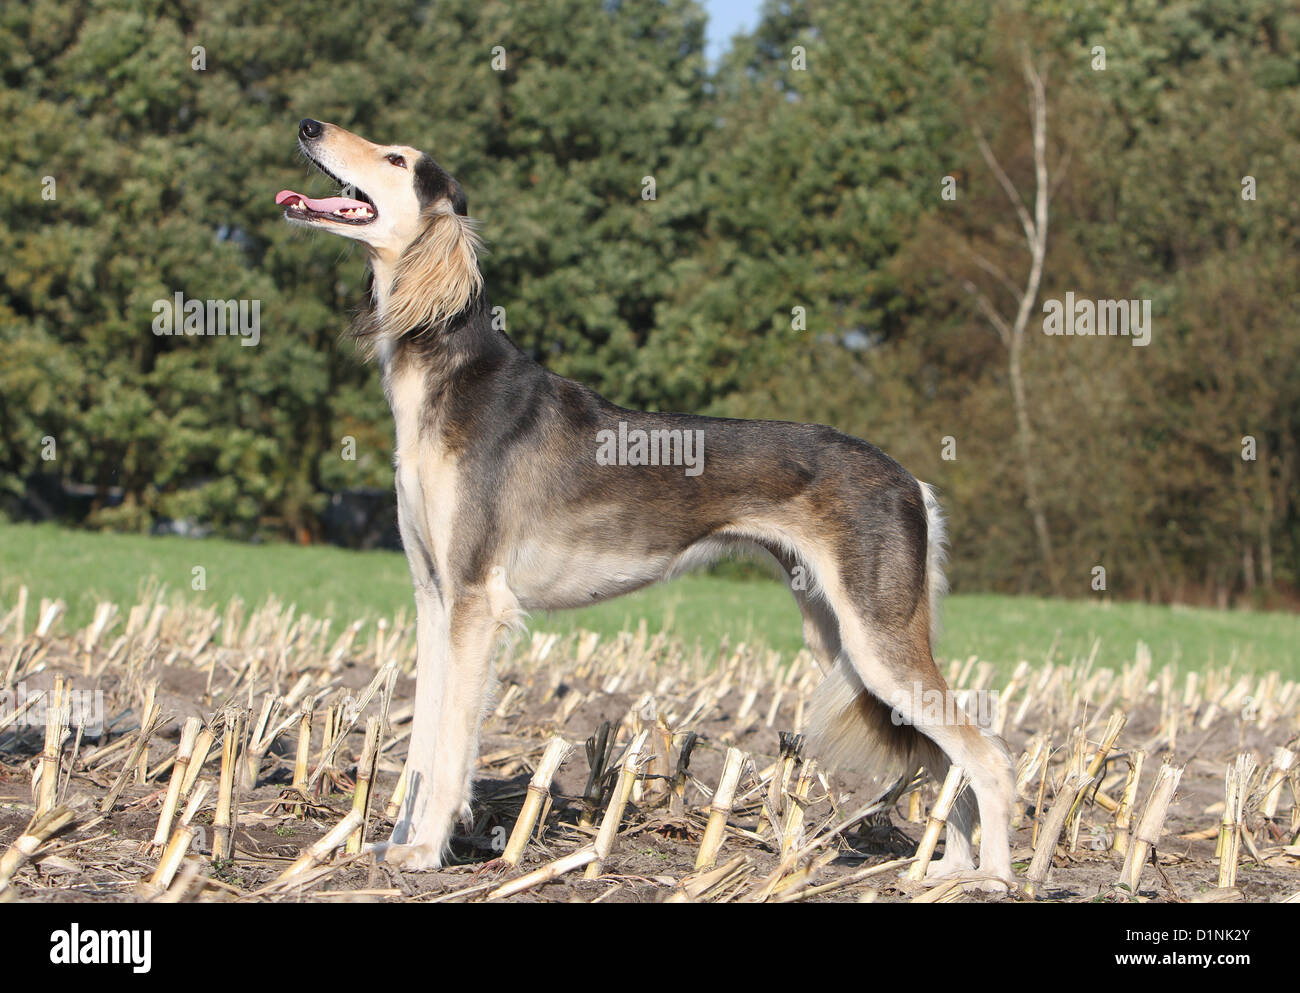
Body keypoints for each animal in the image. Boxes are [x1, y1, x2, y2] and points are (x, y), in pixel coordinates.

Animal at [279, 116, 1019, 883]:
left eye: (396, 158)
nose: (309, 125)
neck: (447, 375)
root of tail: (911, 480)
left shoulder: (476, 601)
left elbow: (452, 743)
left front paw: (426, 850)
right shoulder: (434, 597)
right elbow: (422, 737)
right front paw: (393, 845)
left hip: (879, 643)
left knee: (988, 756)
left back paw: (993, 876)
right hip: (841, 636)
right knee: (945, 759)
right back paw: (950, 872)